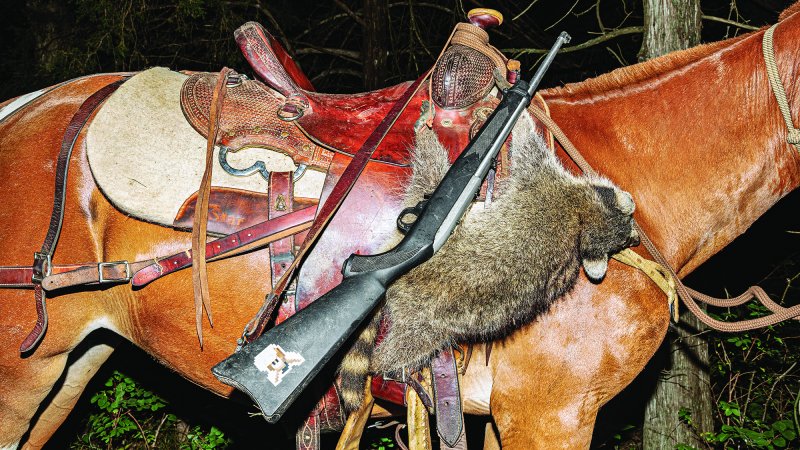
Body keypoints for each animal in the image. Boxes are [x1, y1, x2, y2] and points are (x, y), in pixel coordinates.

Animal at [334, 114, 636, 414]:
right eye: (626, 232)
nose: (635, 239)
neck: (581, 224)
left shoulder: (543, 184)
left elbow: (528, 150)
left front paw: (523, 118)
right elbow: (529, 149)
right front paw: (523, 112)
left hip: (425, 321)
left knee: (429, 173)